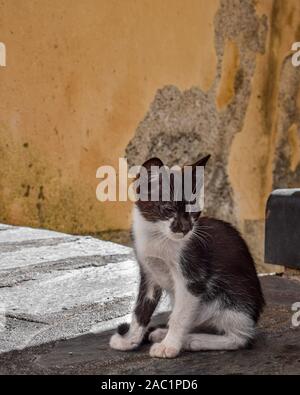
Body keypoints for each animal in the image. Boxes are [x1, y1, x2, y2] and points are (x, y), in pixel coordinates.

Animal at [109, 155, 264, 358]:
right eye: (169, 209)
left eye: (193, 210)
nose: (186, 228)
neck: (158, 237)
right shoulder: (149, 273)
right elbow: (140, 311)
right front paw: (129, 341)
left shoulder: (193, 277)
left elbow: (179, 316)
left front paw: (169, 346)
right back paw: (165, 333)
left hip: (232, 300)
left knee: (241, 338)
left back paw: (193, 340)